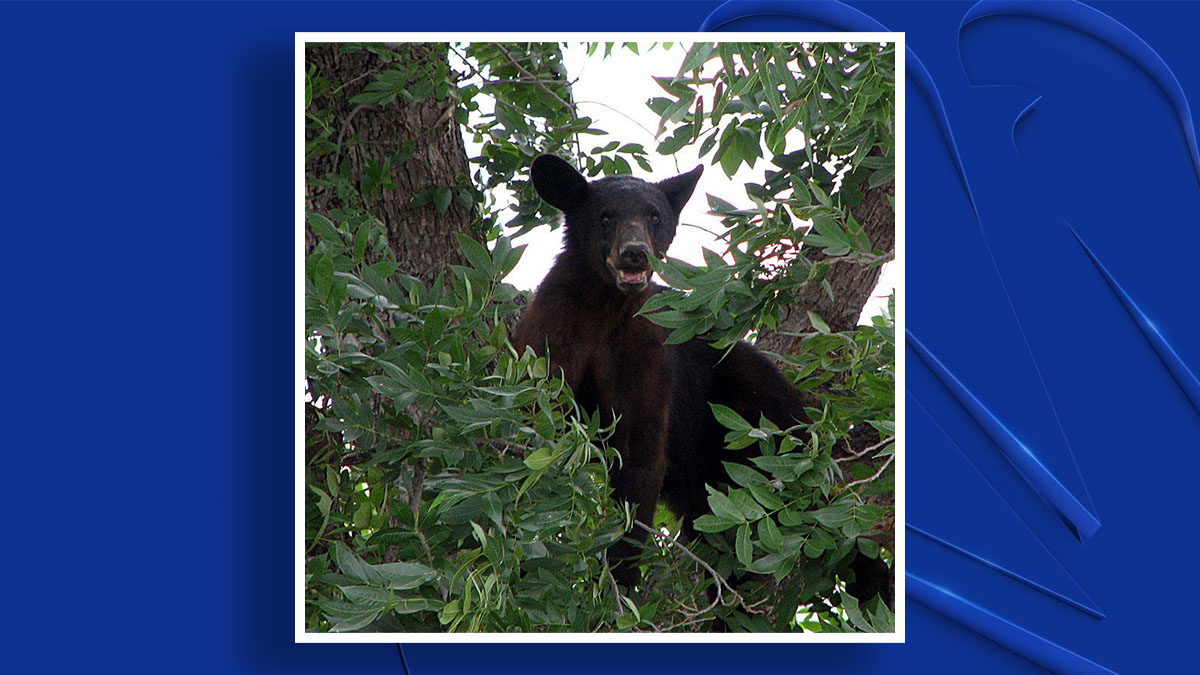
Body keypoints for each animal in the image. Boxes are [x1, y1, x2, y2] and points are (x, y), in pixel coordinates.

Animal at [513, 153, 820, 590]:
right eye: (605, 216)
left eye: (654, 216)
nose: (635, 253)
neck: (604, 309)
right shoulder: (552, 334)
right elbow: (533, 430)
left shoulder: (644, 349)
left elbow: (640, 456)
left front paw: (620, 582)